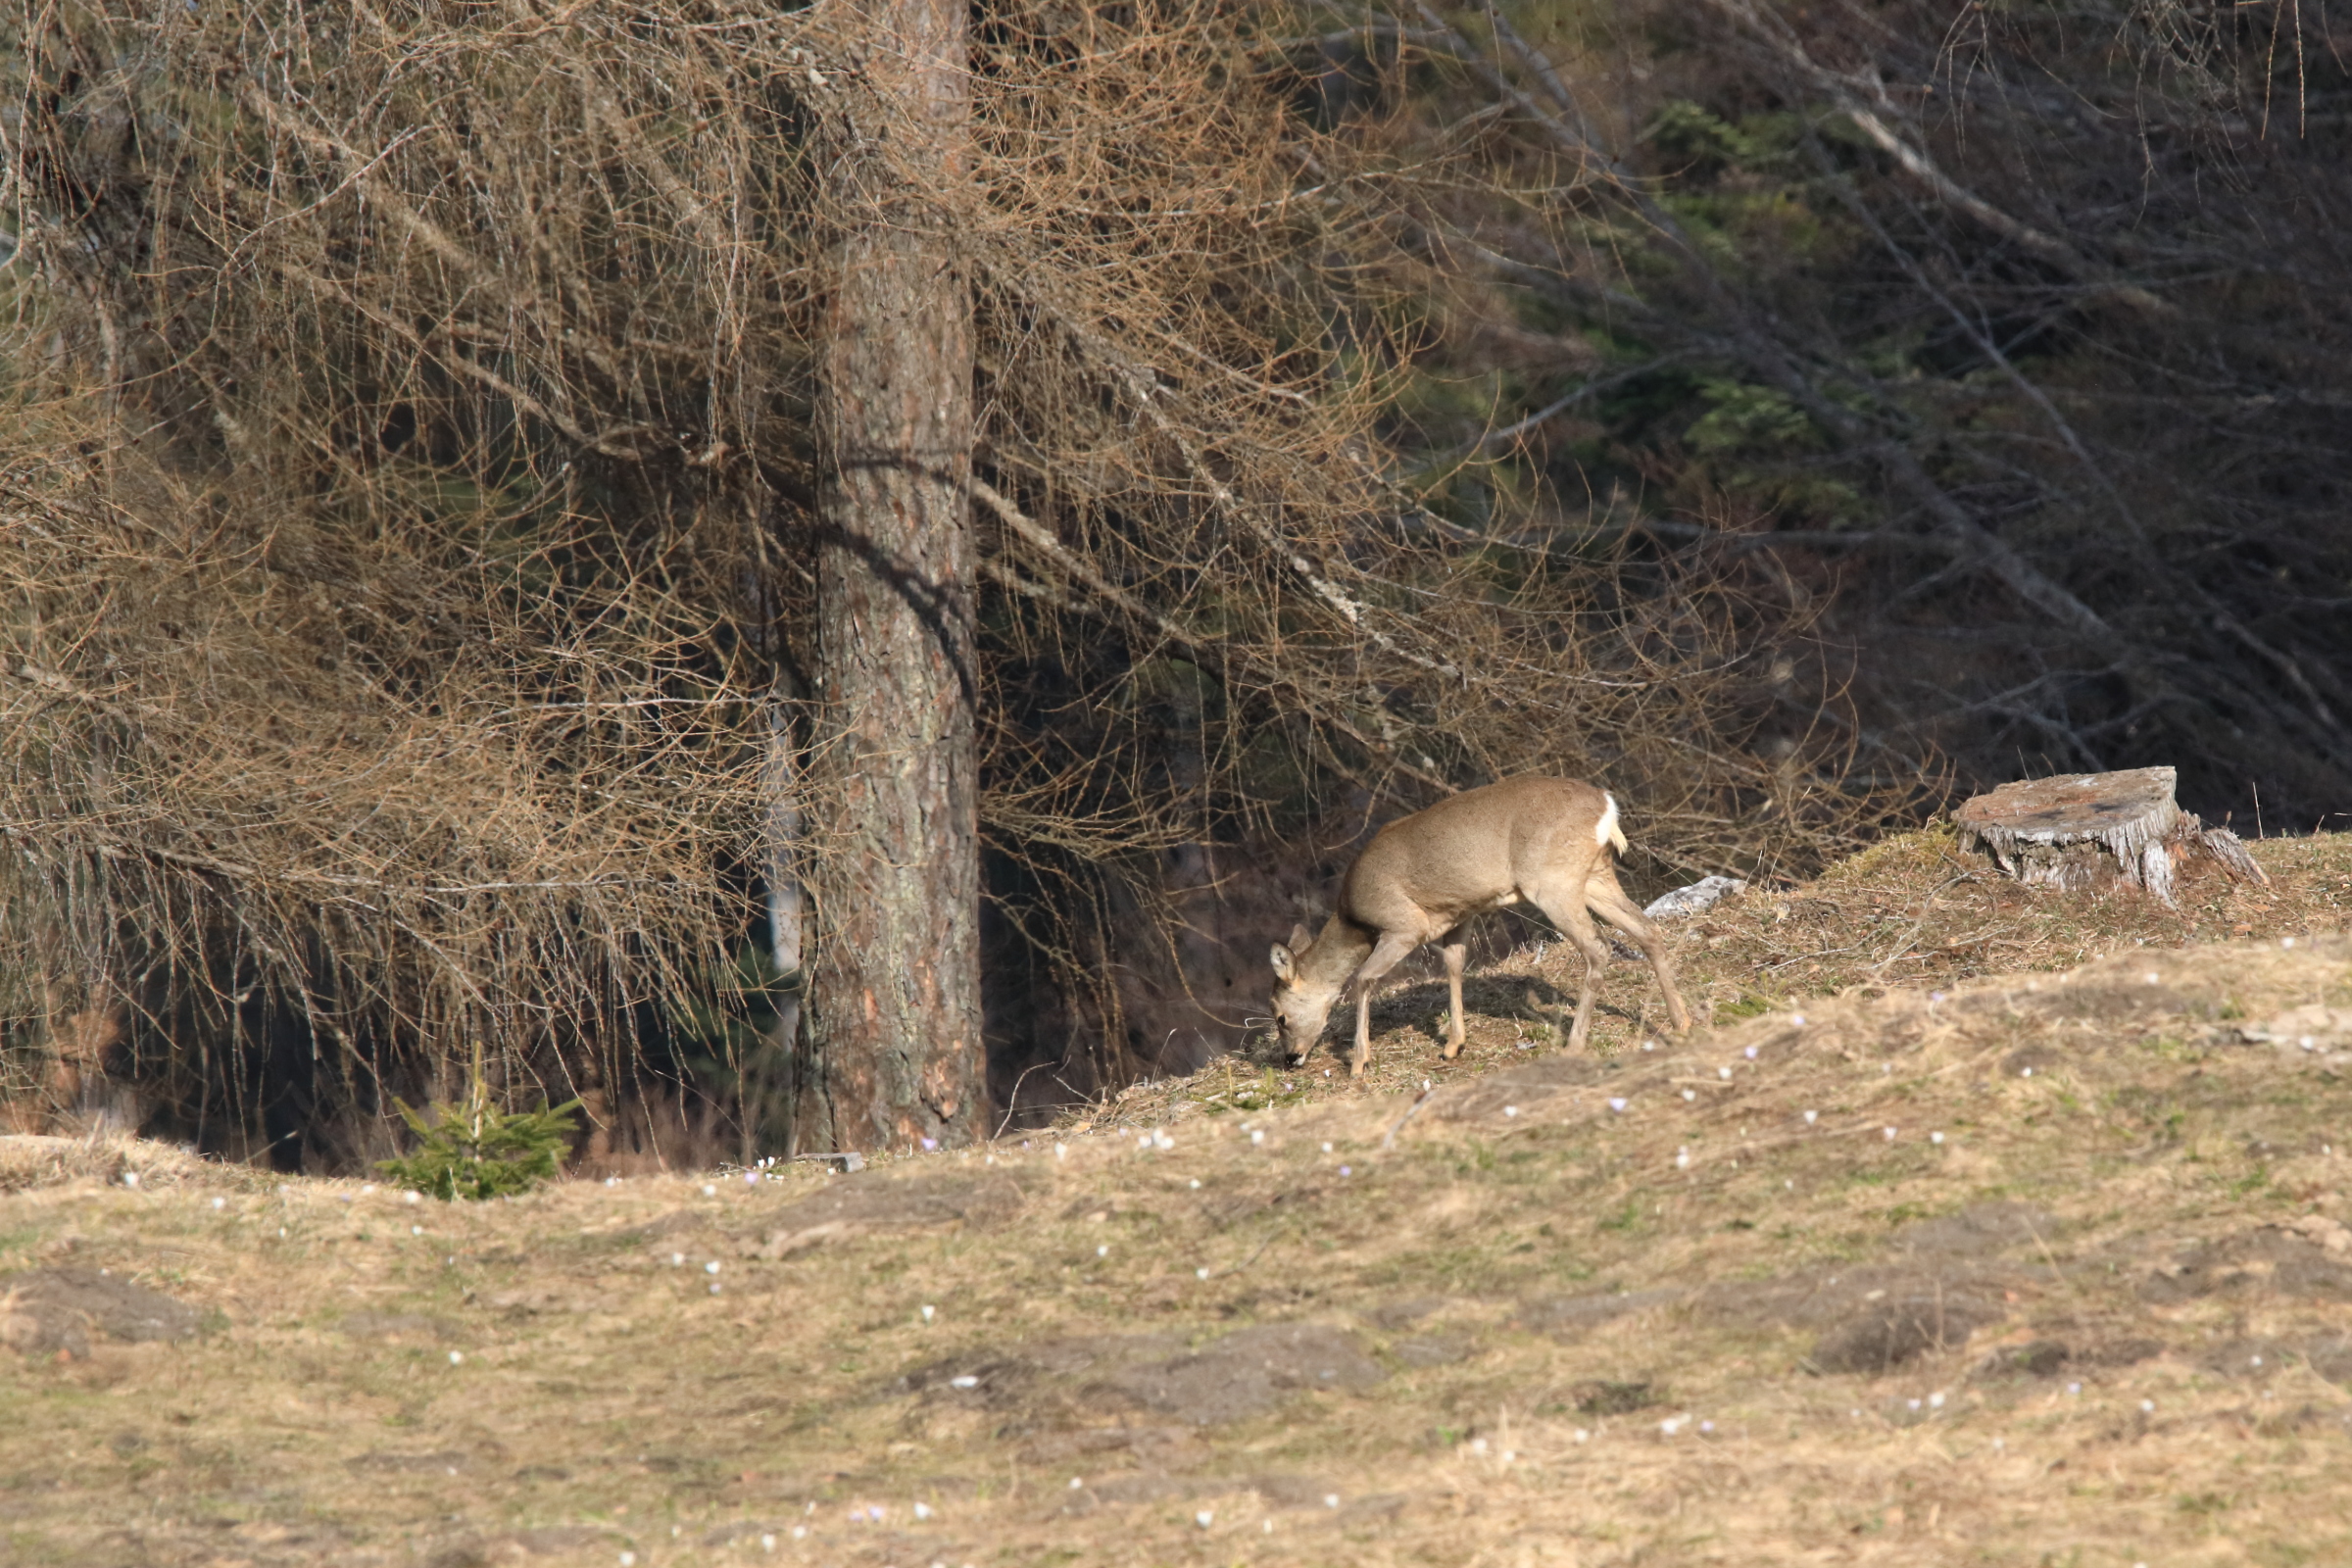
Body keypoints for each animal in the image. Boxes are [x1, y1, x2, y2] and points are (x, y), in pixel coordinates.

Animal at [1270, 775, 1693, 1081]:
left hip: (1553, 883)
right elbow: (1455, 965)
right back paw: (1682, 1022)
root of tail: (1607, 808)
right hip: (1594, 876)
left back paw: (1574, 1045)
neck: (1354, 919)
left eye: (1279, 1016)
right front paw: (1453, 1045)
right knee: (1647, 930)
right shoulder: (1460, 913)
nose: (1291, 1058)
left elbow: (1363, 979)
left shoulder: (1404, 925)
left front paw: (1359, 1063)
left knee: (1599, 947)